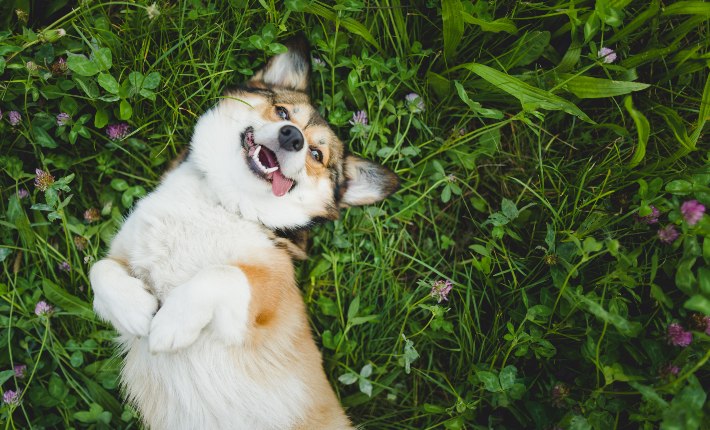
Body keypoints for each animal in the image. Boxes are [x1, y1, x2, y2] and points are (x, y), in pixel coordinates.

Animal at [87, 37, 400, 430]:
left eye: (316, 155)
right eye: (282, 113)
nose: (292, 137)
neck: (223, 202)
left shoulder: (263, 303)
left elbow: (221, 274)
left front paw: (171, 324)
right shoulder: (121, 257)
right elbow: (99, 269)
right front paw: (135, 311)